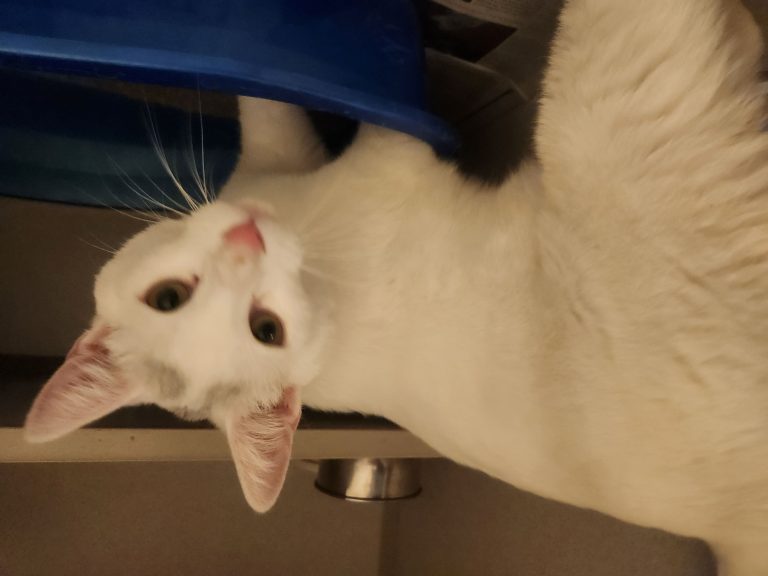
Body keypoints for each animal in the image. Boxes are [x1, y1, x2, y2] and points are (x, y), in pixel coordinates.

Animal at [23, 0, 768, 573]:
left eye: (168, 297)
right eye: (268, 330)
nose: (248, 241)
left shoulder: (282, 157)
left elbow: (270, 99)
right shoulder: (389, 155)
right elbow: (361, 105)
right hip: (603, 80)